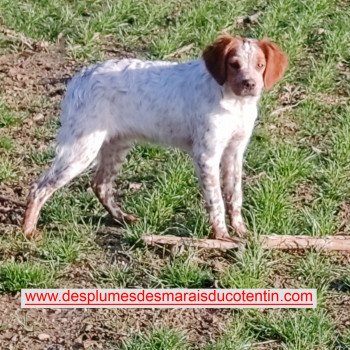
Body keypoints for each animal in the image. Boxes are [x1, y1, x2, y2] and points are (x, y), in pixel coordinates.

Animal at [23, 33, 288, 241]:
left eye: (260, 64)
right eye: (234, 64)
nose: (250, 84)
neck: (234, 102)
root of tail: (79, 78)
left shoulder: (234, 151)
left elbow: (235, 196)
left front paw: (241, 232)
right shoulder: (207, 154)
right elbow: (216, 200)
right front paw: (221, 236)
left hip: (116, 144)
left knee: (100, 184)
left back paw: (122, 218)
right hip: (81, 147)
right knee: (39, 187)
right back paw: (28, 231)